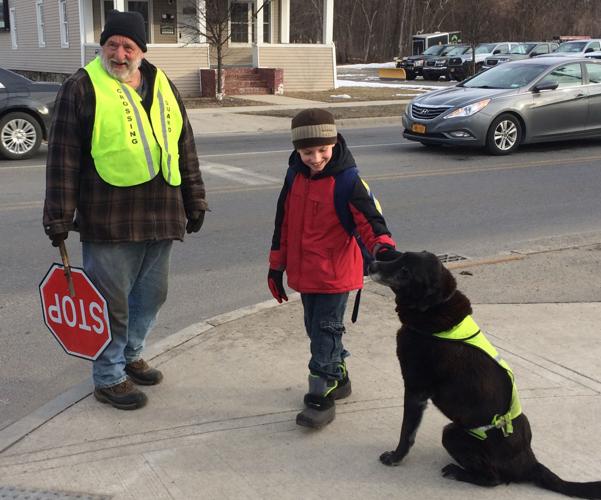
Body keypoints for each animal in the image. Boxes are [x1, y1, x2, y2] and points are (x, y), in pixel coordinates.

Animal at [366, 252, 600, 498]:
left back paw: (457, 472)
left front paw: (395, 457)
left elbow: (406, 432)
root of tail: (530, 463)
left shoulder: (414, 390)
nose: (372, 265)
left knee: (493, 479)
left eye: (405, 272)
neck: (435, 308)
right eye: (399, 257)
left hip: (452, 433)